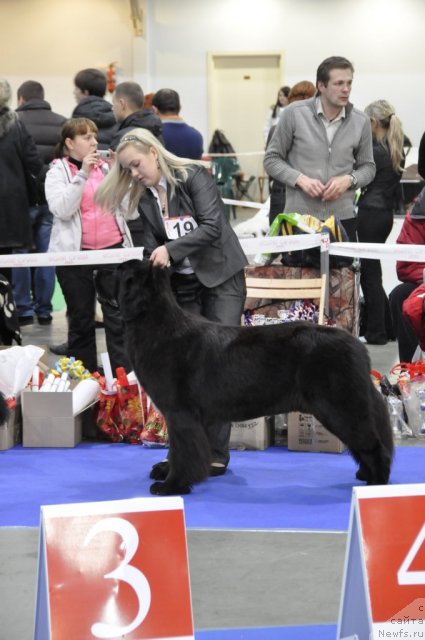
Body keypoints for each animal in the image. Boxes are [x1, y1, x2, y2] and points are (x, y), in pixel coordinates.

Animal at [95, 258, 390, 496]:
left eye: (118, 271)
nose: (96, 270)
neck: (155, 324)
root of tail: (357, 345)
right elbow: (179, 450)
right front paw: (168, 473)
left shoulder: (180, 413)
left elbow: (183, 451)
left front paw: (172, 486)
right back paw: (365, 475)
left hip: (339, 407)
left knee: (373, 444)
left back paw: (376, 485)